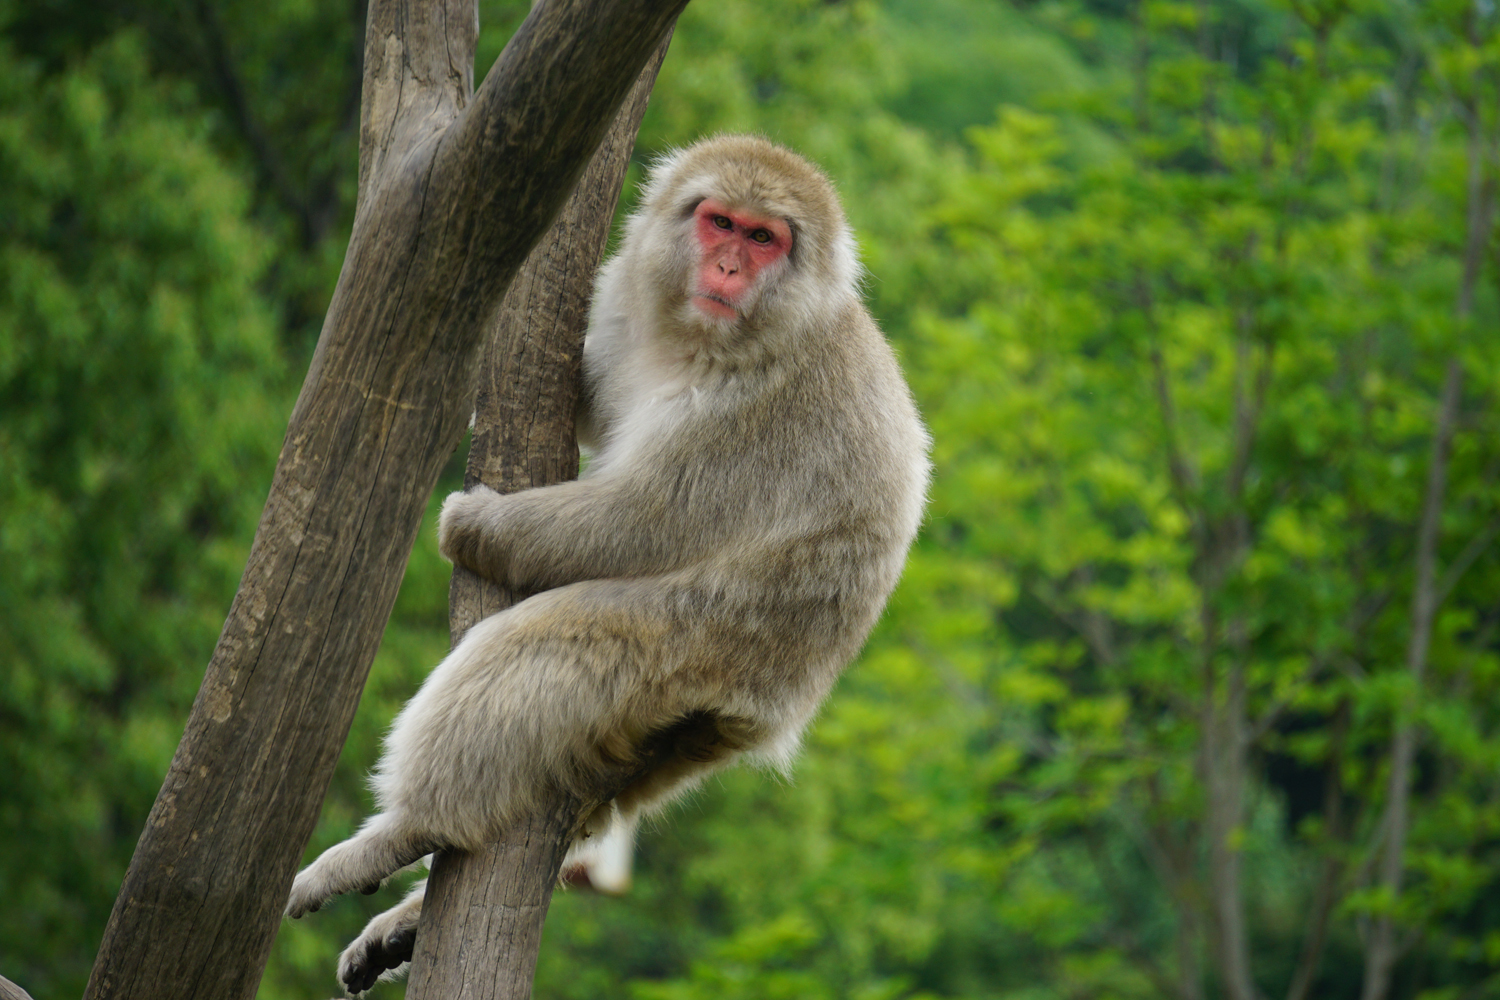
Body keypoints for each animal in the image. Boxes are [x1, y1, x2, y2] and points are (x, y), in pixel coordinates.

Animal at [284, 134, 931, 993]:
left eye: (766, 239)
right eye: (721, 222)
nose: (729, 267)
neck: (719, 342)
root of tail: (772, 708)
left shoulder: (752, 414)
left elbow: (637, 522)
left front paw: (472, 525)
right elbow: (598, 410)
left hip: (684, 648)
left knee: (528, 651)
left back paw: (400, 831)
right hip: (671, 732)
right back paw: (406, 919)